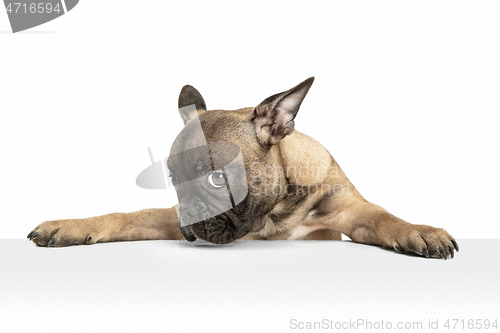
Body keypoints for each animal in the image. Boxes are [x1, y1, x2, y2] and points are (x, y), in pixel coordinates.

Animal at [26, 76, 458, 258]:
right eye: (173, 179)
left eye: (218, 179)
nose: (189, 212)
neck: (274, 212)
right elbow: (130, 216)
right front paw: (70, 226)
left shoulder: (350, 214)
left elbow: (385, 217)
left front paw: (421, 231)